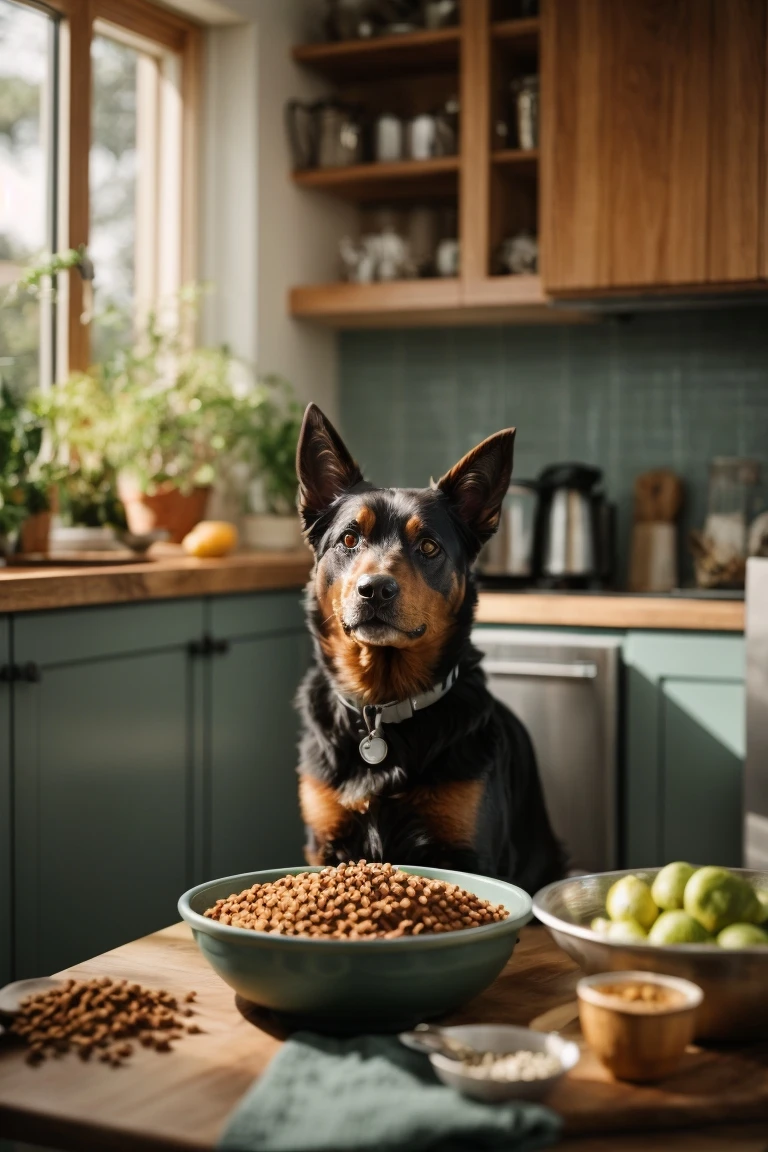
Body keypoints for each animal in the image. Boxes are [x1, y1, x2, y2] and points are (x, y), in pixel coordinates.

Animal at [292, 400, 564, 893]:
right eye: (348, 539)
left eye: (429, 546)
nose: (375, 590)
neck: (383, 707)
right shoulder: (324, 845)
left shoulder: (468, 852)